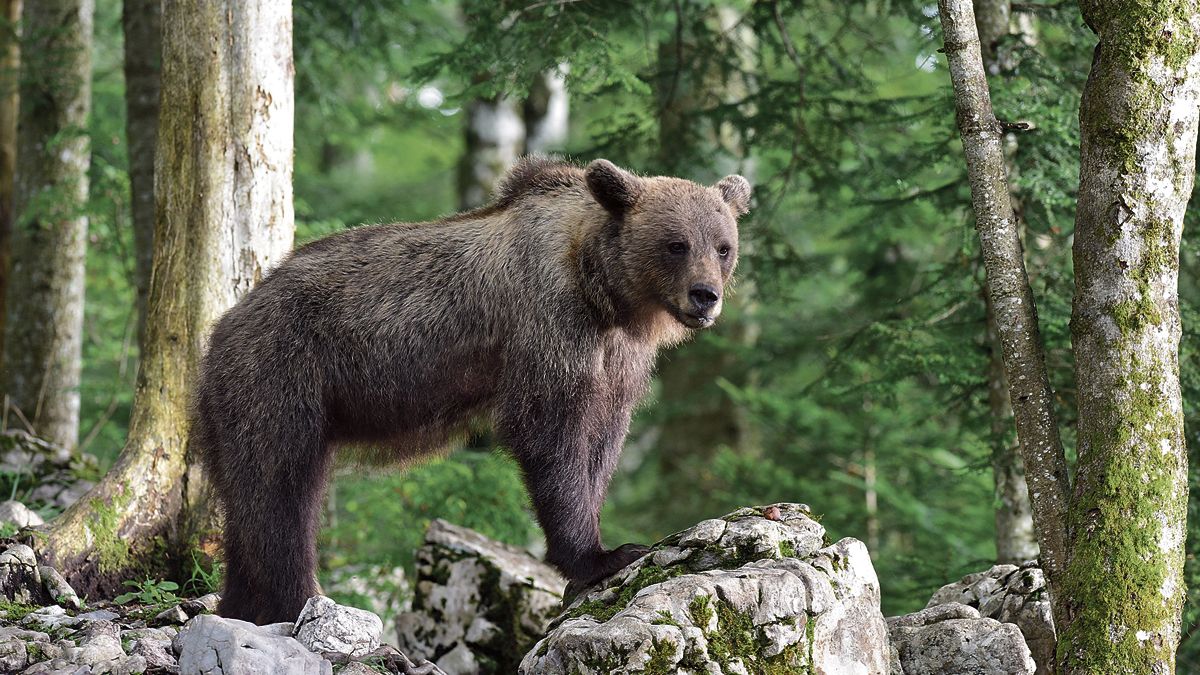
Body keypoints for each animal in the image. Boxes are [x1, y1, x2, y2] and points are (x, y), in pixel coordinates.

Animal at [194, 154, 748, 624]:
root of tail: (224, 323)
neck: (606, 293)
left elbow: (601, 442)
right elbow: (549, 435)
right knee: (281, 492)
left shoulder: (618, 361)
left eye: (723, 247)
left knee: (247, 505)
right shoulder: (550, 326)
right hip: (281, 377)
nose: (705, 296)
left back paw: (241, 605)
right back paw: (296, 601)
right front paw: (602, 556)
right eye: (676, 244)